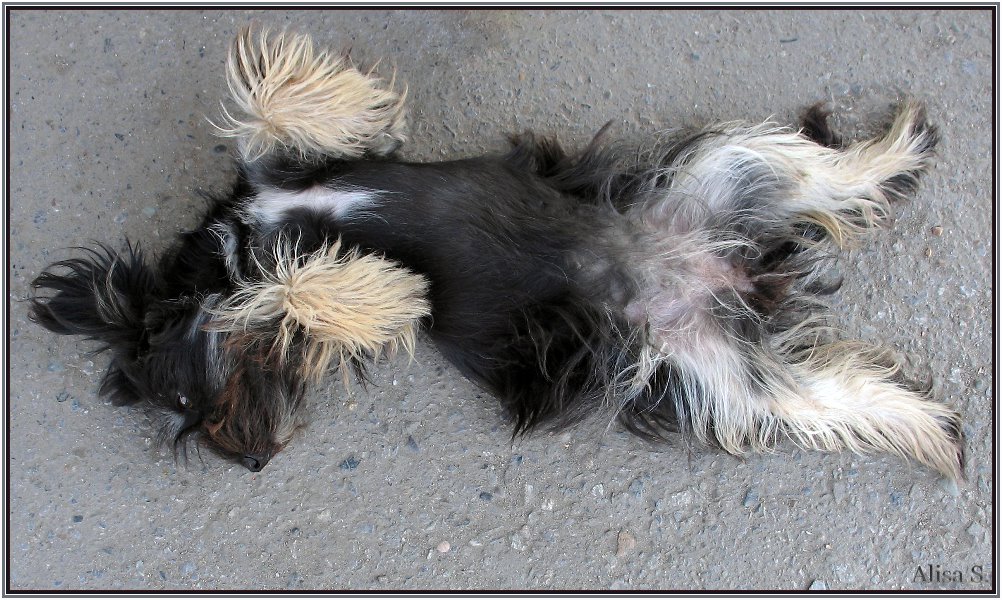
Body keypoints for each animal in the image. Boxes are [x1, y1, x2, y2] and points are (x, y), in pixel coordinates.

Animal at [27, 27, 961, 478]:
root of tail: (709, 272)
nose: (253, 459)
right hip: (726, 370)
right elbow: (300, 294)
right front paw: (373, 287)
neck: (239, 245)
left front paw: (316, 81)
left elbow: (264, 108)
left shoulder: (283, 173)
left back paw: (897, 147)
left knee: (820, 171)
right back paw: (929, 427)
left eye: (191, 400)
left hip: (720, 172)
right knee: (832, 394)